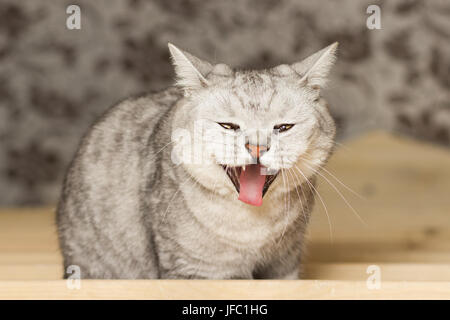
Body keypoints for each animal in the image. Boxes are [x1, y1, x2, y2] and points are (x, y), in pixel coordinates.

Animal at [56, 42, 338, 278]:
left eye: (283, 127)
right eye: (228, 126)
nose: (257, 147)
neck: (252, 225)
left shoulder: (284, 265)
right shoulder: (194, 270)